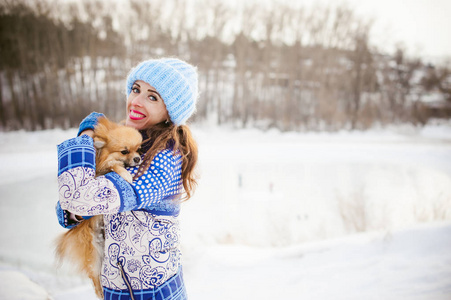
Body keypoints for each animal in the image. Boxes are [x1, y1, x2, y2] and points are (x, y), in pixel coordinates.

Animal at [55, 116, 142, 298]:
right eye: (124, 151)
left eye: (139, 149)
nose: (138, 159)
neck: (101, 155)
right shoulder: (101, 170)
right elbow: (114, 165)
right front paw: (125, 174)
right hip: (93, 251)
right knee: (94, 276)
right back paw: (100, 292)